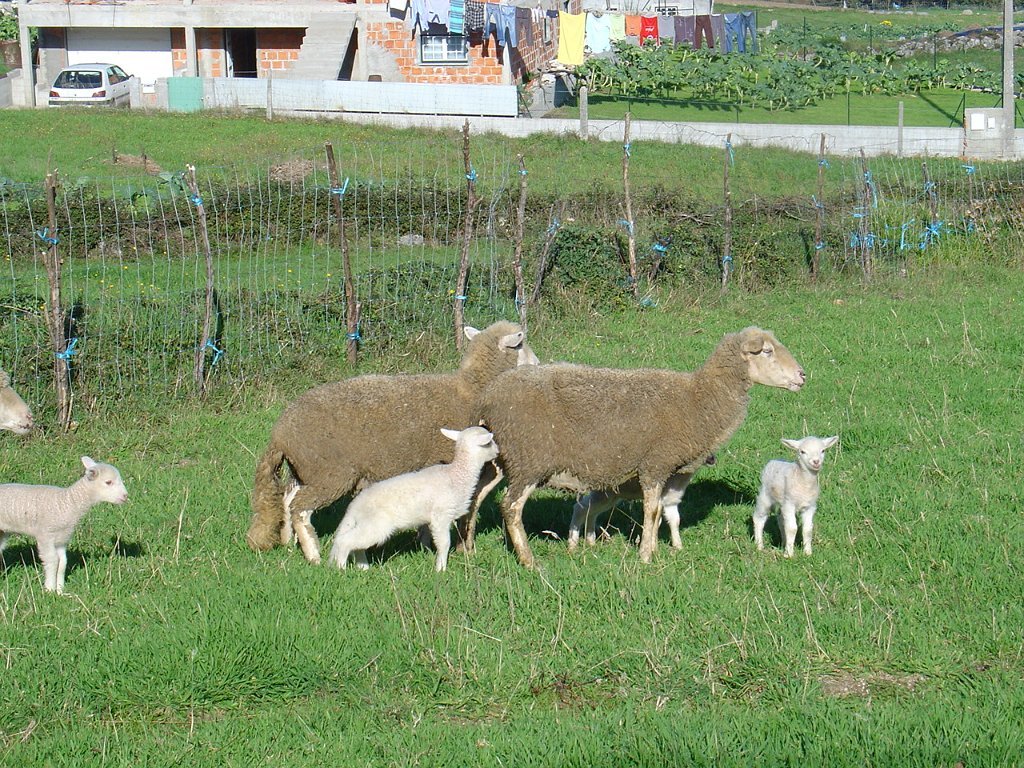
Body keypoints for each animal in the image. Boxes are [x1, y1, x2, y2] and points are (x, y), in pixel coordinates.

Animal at [0, 456, 129, 593]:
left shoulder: (62, 538)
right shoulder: (45, 535)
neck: (67, 502)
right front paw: (49, 589)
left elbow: (62, 563)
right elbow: (53, 560)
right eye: (108, 482)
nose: (125, 496)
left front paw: (60, 590)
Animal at [327, 426, 500, 572]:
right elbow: (444, 543)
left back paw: (363, 568)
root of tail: (354, 507)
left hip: (367, 523)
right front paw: (441, 569)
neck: (457, 475)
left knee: (356, 545)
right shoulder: (441, 516)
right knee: (345, 541)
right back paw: (341, 569)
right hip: (377, 524)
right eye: (489, 442)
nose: (498, 452)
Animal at [567, 455, 716, 551]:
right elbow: (657, 522)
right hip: (605, 494)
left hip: (607, 495)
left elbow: (675, 520)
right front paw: (654, 548)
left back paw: (590, 541)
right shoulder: (661, 499)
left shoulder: (671, 499)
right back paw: (573, 545)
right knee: (581, 508)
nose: (713, 459)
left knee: (590, 510)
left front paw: (678, 547)